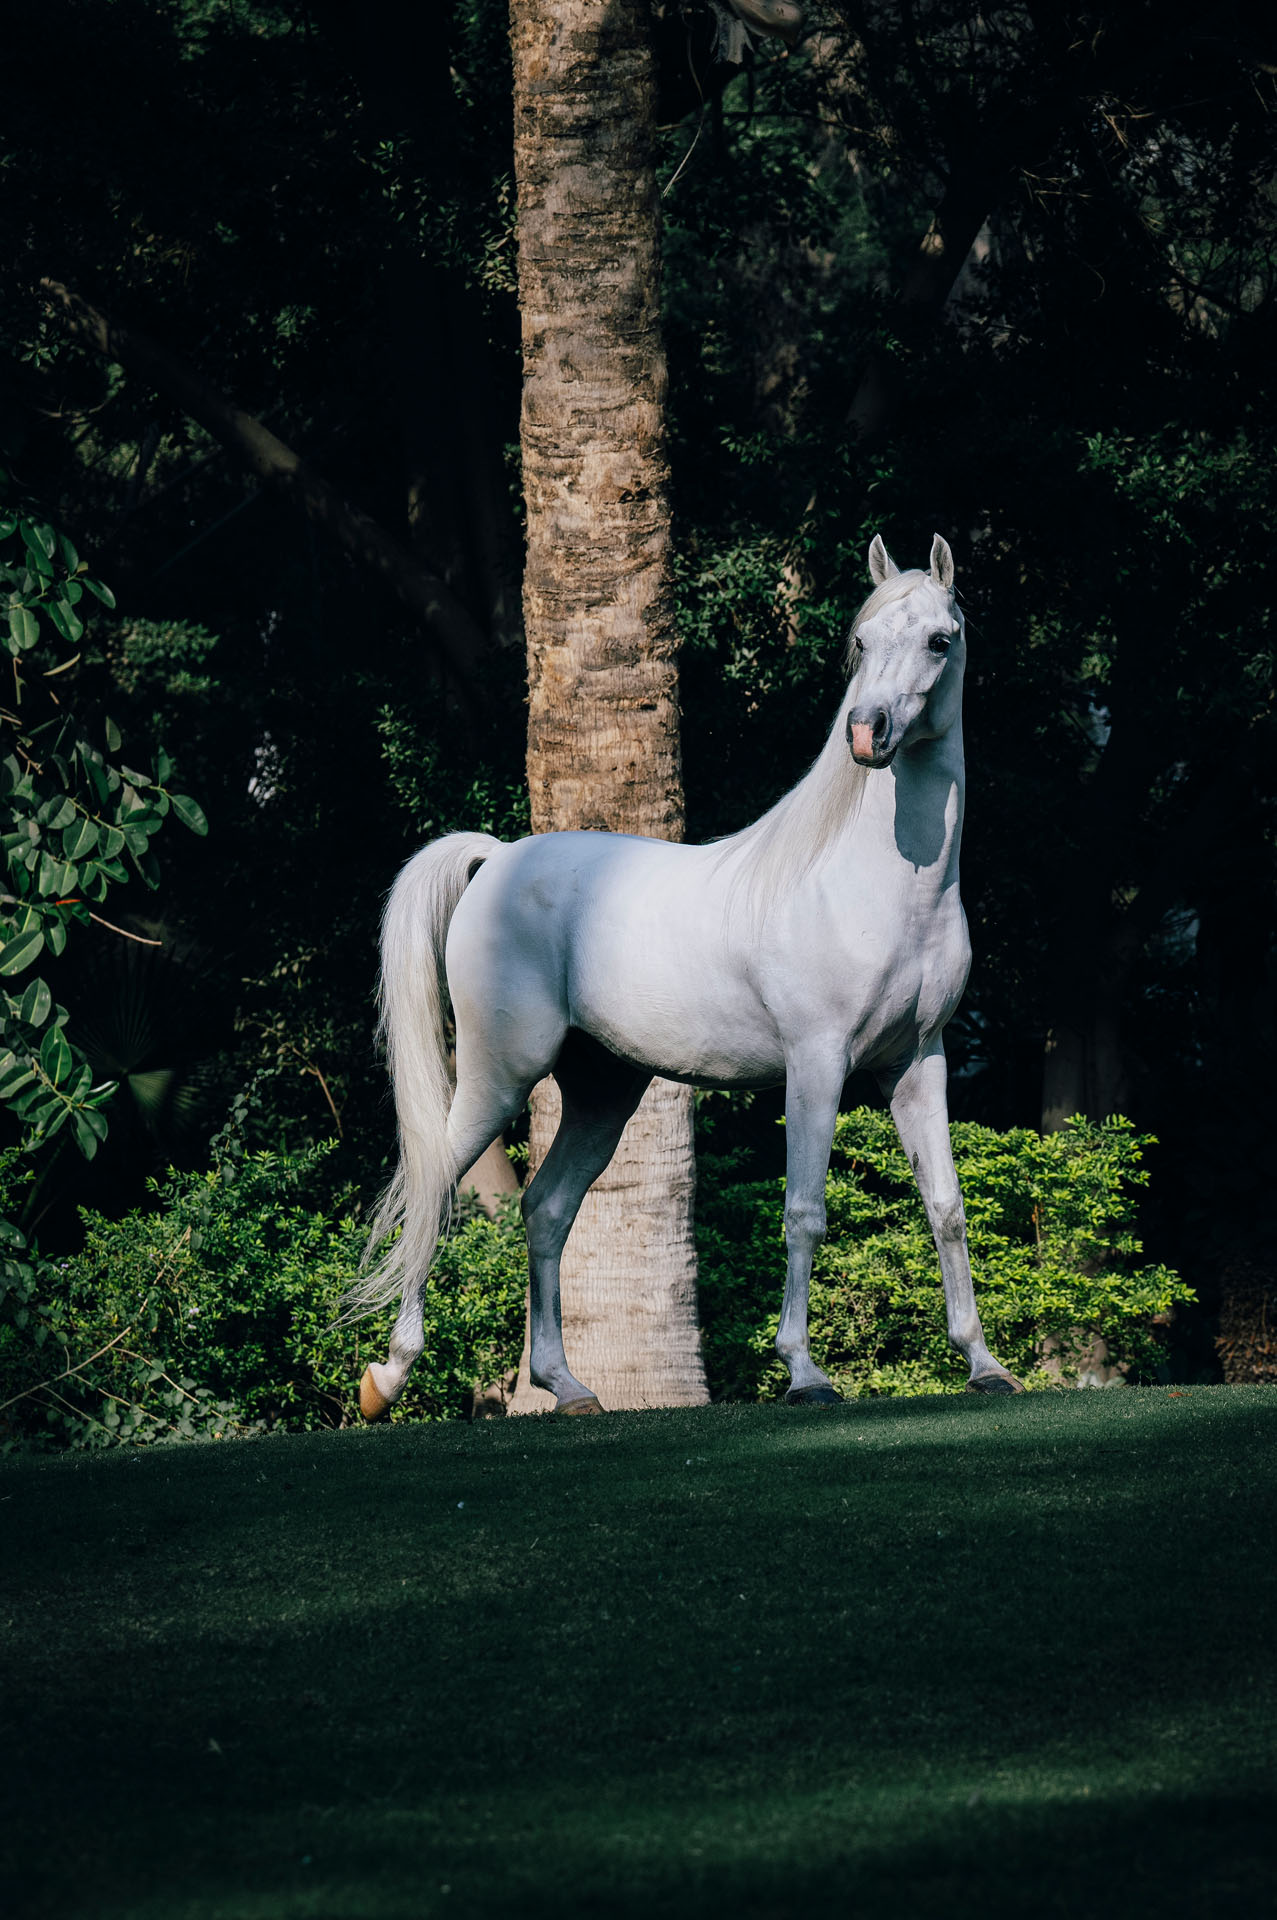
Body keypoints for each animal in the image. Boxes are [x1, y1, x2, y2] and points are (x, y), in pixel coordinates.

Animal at [354, 533, 1023, 1419]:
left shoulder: (919, 1063)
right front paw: (804, 1373)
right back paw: (387, 1376)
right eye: (862, 640)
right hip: (501, 1075)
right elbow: (803, 1211)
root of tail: (497, 858)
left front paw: (983, 1365)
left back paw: (567, 1387)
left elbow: (944, 1205)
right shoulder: (817, 1064)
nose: (866, 733)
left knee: (547, 1210)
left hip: (602, 1091)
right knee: (435, 1184)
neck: (875, 883)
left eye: (939, 640)